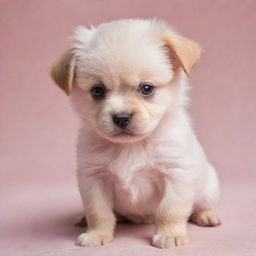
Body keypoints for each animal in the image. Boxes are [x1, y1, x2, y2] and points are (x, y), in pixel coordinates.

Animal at [49, 19, 220, 248]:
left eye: (146, 89)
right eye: (97, 91)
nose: (121, 117)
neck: (130, 147)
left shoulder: (176, 174)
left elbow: (170, 210)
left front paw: (169, 235)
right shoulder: (93, 179)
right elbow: (98, 212)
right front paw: (97, 235)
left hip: (209, 187)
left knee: (199, 205)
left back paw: (206, 215)